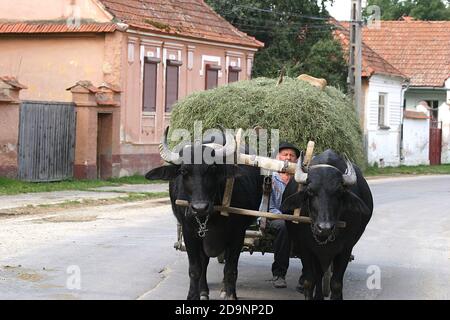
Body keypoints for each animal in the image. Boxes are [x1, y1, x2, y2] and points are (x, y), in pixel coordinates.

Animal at [144, 128, 264, 300]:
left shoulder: (238, 234)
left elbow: (231, 269)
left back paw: (223, 289)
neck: (212, 216)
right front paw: (193, 295)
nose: (199, 208)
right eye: (183, 171)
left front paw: (230, 295)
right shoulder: (190, 233)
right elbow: (195, 269)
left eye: (212, 168)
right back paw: (203, 291)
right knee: (204, 263)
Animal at [282, 150, 372, 300]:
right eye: (310, 191)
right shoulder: (305, 247)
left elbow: (336, 283)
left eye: (339, 192)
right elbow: (309, 281)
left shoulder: (346, 249)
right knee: (319, 275)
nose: (324, 228)